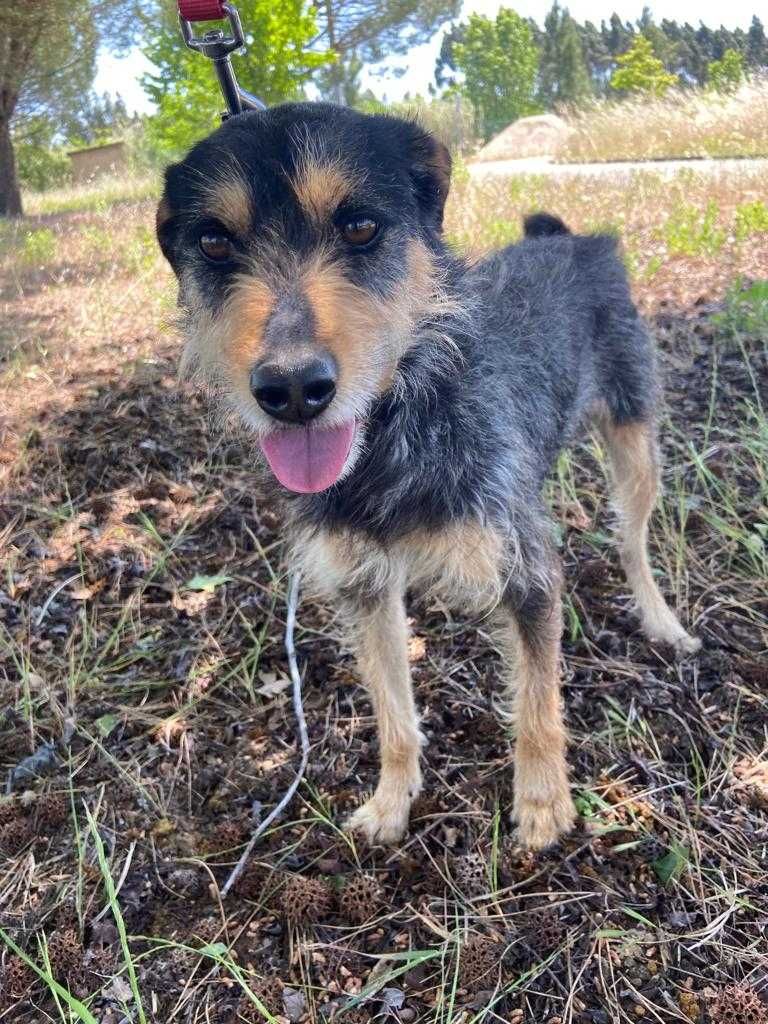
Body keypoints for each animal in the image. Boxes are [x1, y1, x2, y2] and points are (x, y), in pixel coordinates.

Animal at [157, 101, 704, 847]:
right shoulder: (363, 589)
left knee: (633, 542)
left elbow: (537, 704)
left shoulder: (527, 573)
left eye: (360, 226)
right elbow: (393, 712)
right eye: (213, 242)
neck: (396, 432)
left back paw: (661, 621)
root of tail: (570, 240)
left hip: (635, 440)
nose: (293, 389)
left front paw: (542, 803)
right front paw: (393, 801)